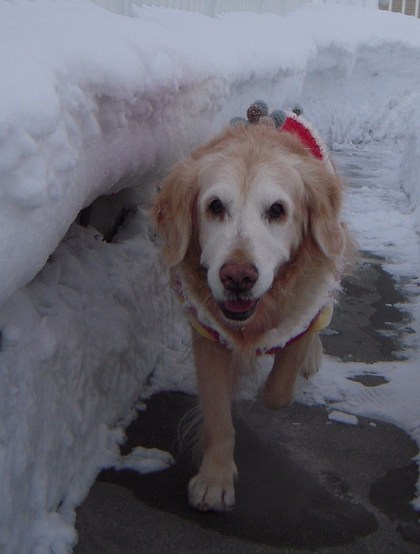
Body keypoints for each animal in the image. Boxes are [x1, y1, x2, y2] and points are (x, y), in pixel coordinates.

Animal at [152, 109, 353, 512]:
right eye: (215, 206)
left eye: (277, 210)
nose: (237, 277)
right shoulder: (207, 332)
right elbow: (217, 414)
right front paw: (214, 479)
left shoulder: (303, 313)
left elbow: (278, 391)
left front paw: (267, 384)